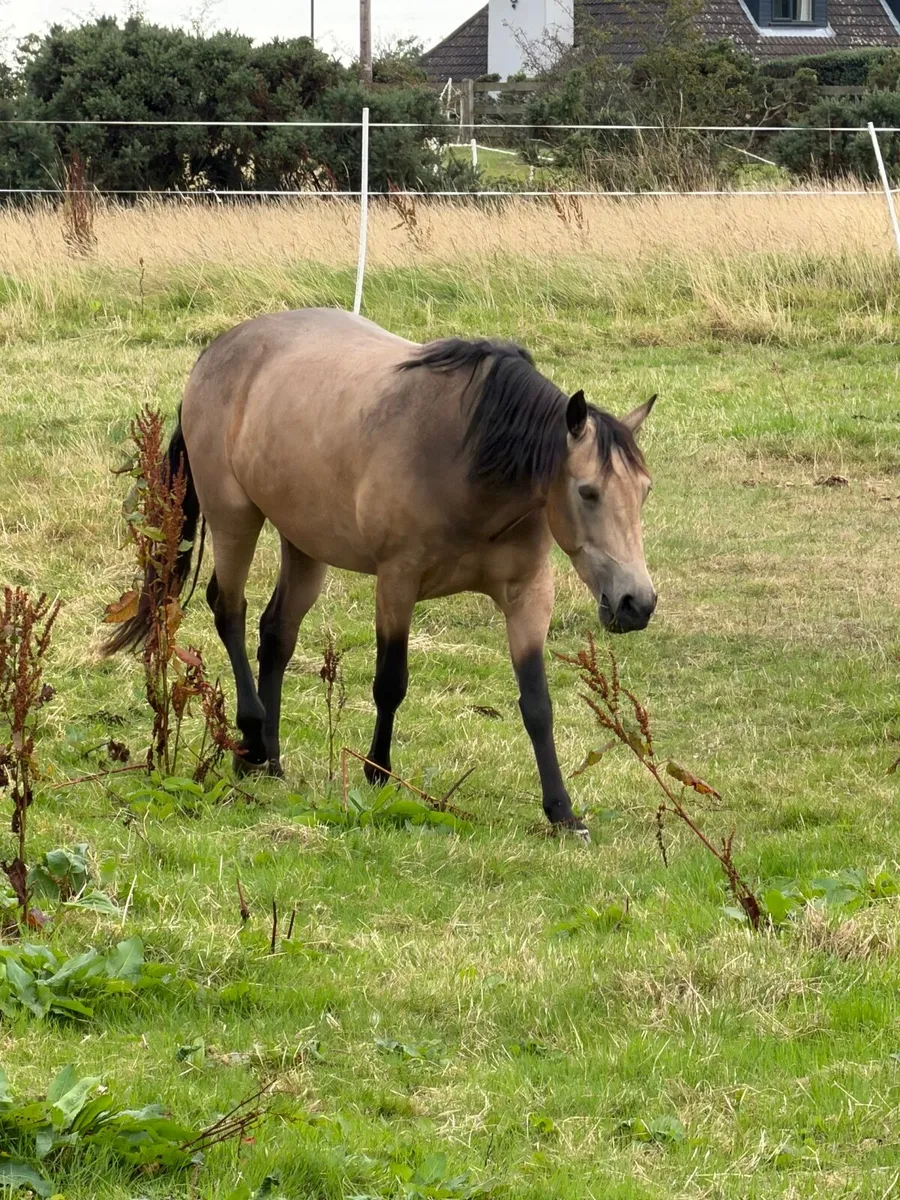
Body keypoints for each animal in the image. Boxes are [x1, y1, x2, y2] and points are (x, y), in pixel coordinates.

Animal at [105, 308, 657, 834]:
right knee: (229, 610)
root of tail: (216, 352)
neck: (470, 460)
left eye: (645, 489)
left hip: (304, 542)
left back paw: (272, 759)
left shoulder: (528, 594)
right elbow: (390, 682)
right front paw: (377, 772)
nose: (637, 604)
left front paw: (562, 812)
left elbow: (538, 703)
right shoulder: (397, 582)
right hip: (234, 518)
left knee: (276, 633)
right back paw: (253, 738)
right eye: (587, 491)